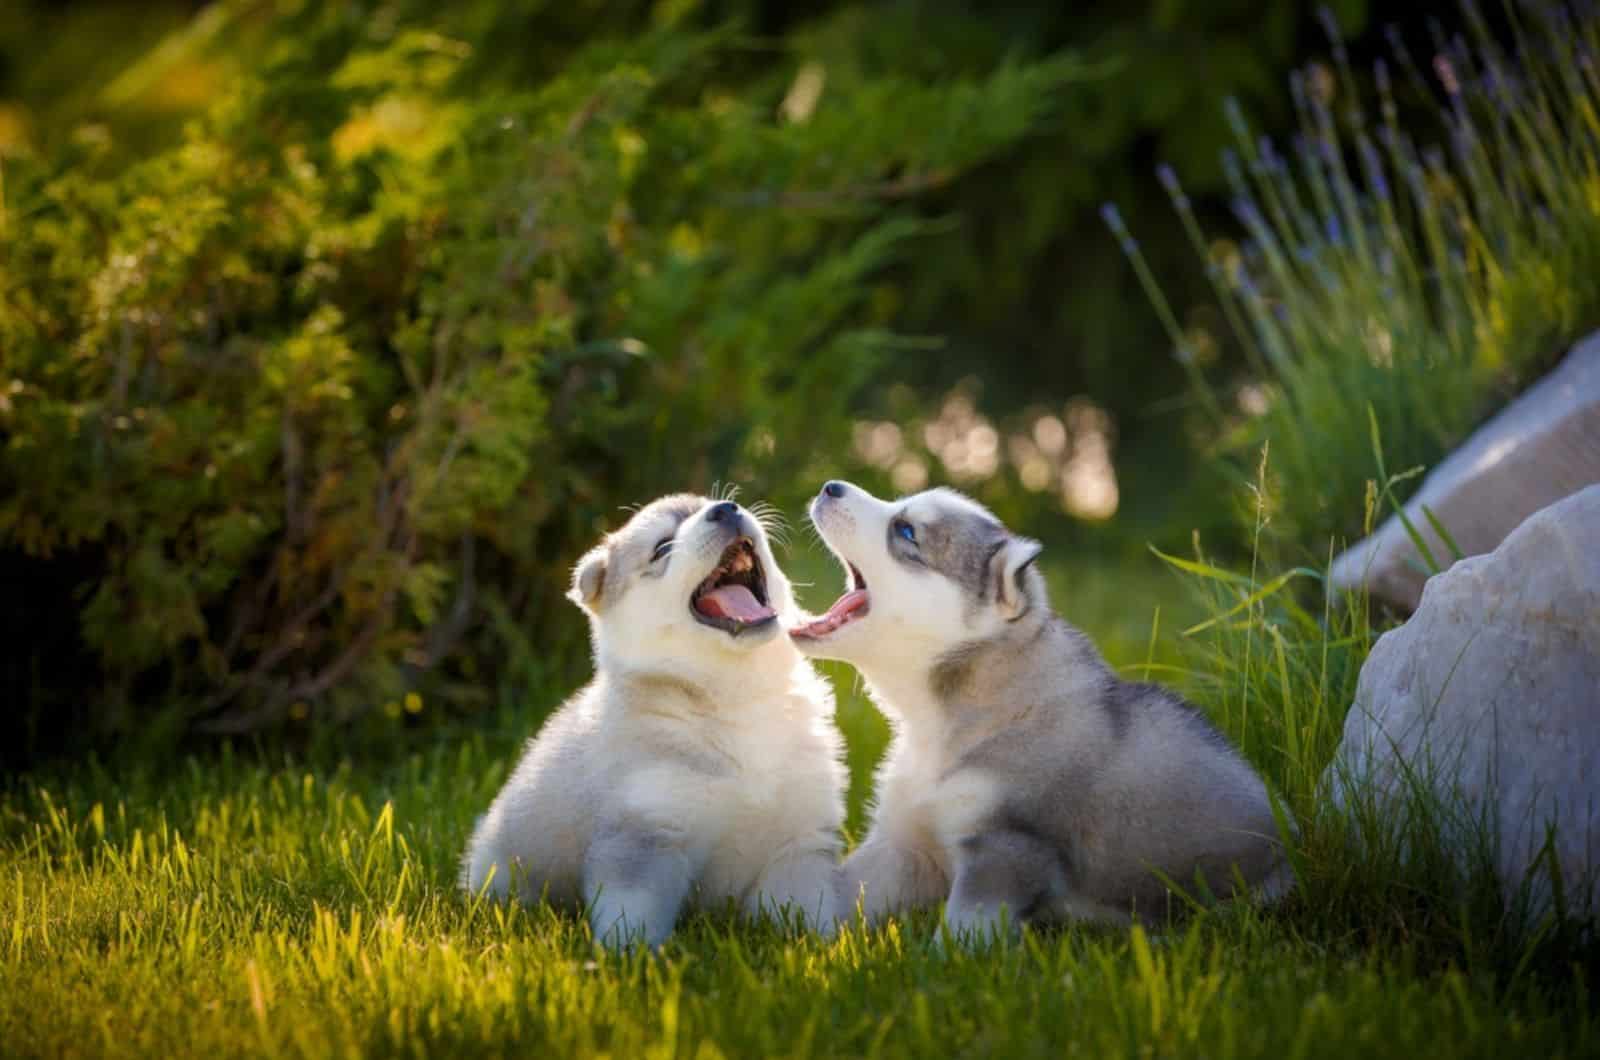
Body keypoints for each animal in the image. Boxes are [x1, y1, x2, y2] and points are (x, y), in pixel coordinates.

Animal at [460, 493, 844, 947]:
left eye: (719, 502)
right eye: (662, 548)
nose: (726, 509)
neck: (736, 696)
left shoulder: (799, 841)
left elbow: (807, 909)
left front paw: (824, 947)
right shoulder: (645, 833)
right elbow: (635, 912)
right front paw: (632, 956)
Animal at [793, 480, 1292, 941]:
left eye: (907, 531)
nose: (830, 486)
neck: (936, 724)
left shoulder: (1004, 848)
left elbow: (959, 930)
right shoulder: (905, 843)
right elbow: (841, 888)